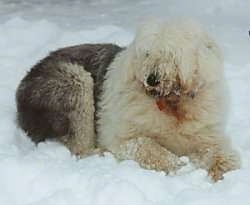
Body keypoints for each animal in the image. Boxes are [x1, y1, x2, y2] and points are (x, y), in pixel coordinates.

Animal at [16, 20, 239, 181]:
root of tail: (25, 80)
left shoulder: (207, 136)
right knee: (78, 147)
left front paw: (224, 170)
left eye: (170, 54)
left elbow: (218, 152)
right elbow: (146, 145)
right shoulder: (119, 137)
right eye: (147, 53)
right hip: (74, 81)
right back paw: (99, 154)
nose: (151, 79)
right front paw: (177, 166)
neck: (172, 105)